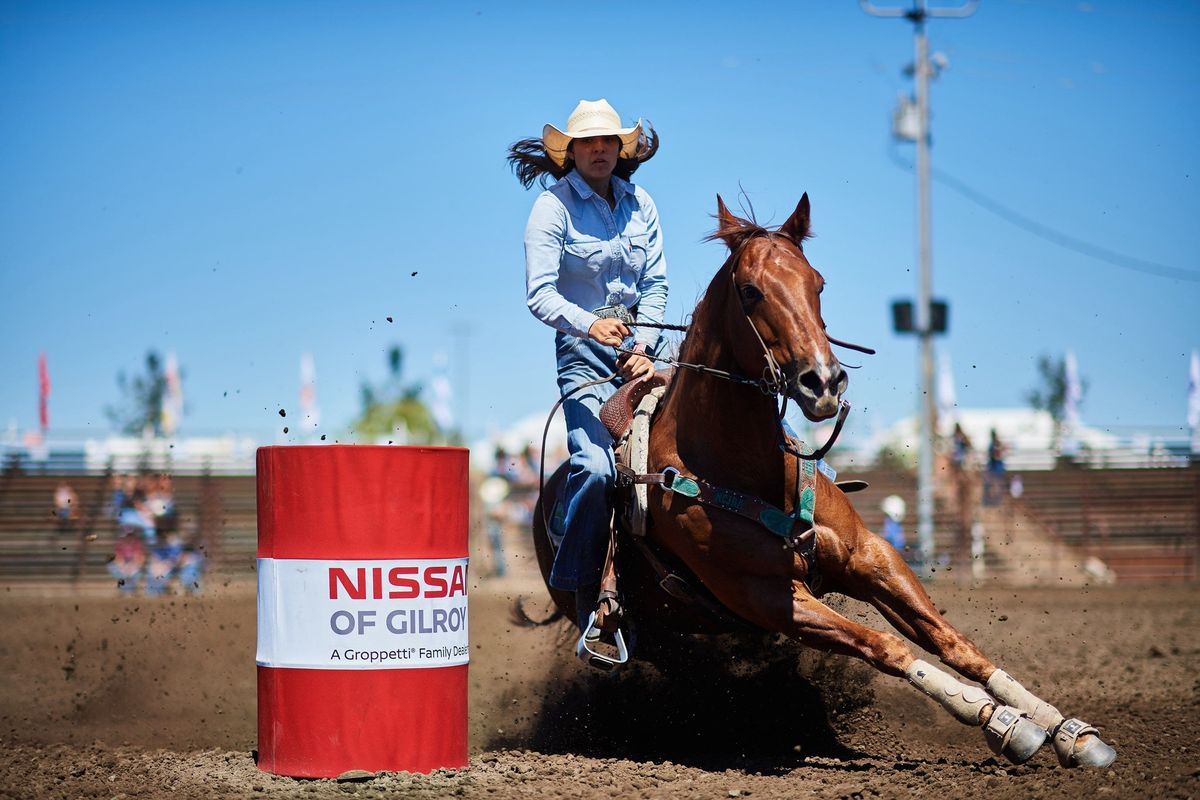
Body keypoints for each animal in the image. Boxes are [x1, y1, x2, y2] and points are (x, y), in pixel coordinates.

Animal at [532, 194, 1113, 767]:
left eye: (818, 283)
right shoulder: (768, 595)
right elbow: (887, 646)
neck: (745, 469)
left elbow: (951, 642)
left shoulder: (870, 557)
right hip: (653, 632)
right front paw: (1000, 721)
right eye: (751, 290)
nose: (825, 382)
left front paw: (1063, 728)